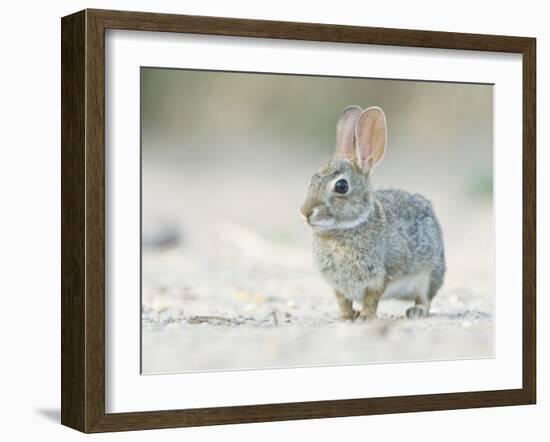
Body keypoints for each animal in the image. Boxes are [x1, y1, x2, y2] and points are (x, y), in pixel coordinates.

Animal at [300, 107, 446, 322]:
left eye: (341, 186)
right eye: (312, 180)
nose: (305, 212)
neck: (346, 229)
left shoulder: (379, 277)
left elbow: (372, 299)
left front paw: (365, 317)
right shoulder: (338, 286)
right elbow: (343, 301)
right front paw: (346, 317)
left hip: (428, 275)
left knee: (425, 298)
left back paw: (416, 311)